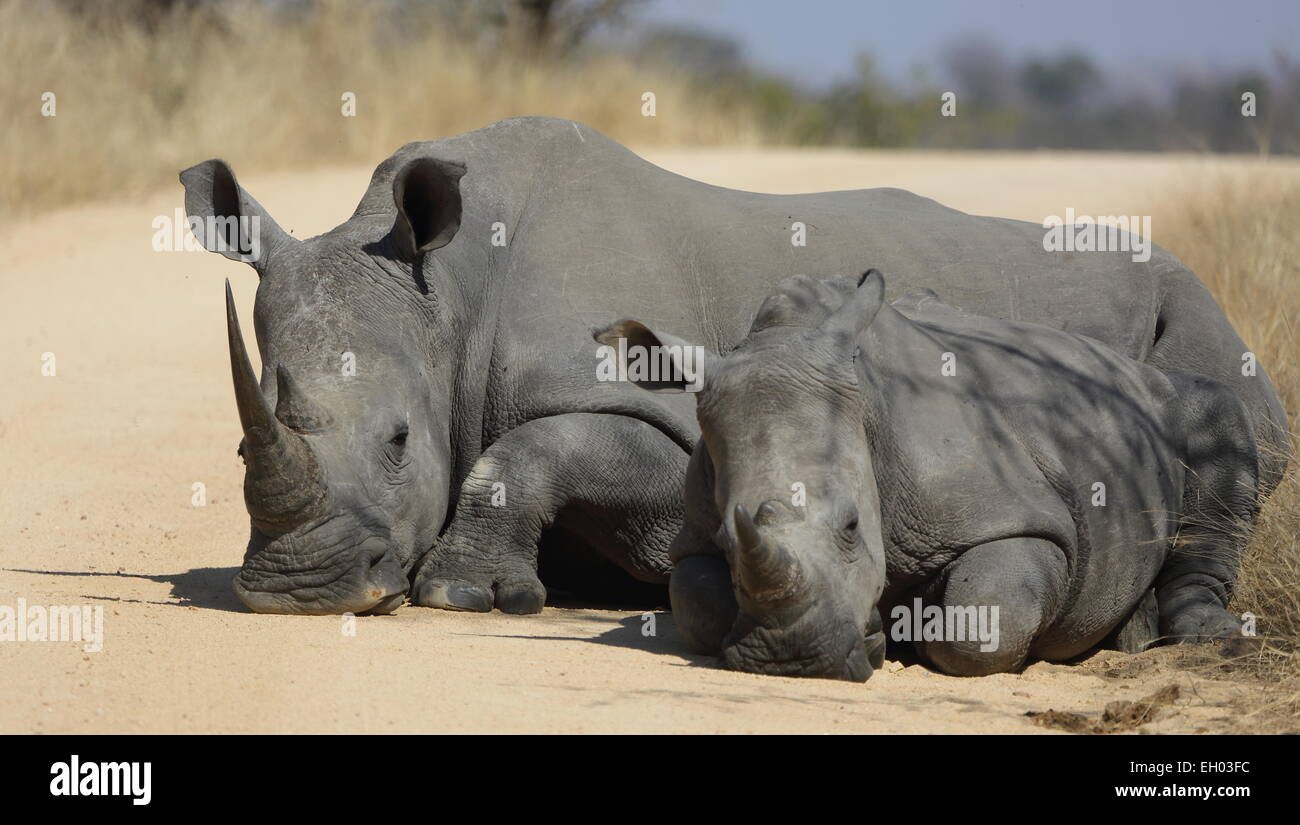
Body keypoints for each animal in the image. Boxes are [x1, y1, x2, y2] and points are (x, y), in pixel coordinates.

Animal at [178, 119, 1284, 615]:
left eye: (401, 441)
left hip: (1194, 315)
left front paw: (466, 595)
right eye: (236, 447)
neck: (448, 294)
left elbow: (528, 453)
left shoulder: (665, 415)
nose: (298, 590)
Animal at [600, 271, 1258, 685]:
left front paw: (908, 637)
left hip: (1165, 401)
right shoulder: (694, 536)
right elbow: (696, 601)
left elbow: (982, 620)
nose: (793, 662)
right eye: (730, 542)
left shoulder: (1016, 517)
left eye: (852, 527)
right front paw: (874, 628)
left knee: (1219, 416)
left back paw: (1205, 639)